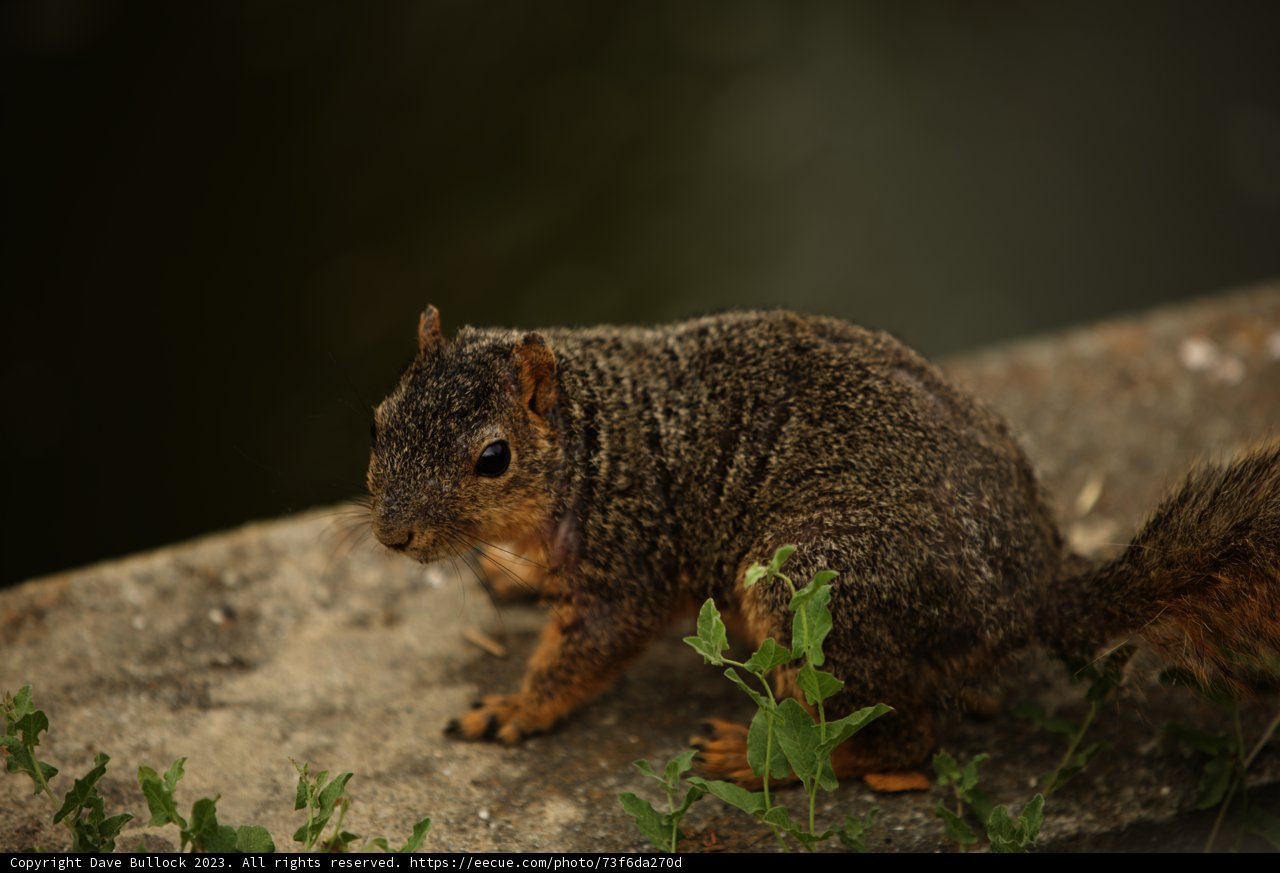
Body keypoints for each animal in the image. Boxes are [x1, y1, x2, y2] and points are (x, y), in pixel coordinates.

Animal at [365, 305, 1280, 780]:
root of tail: (1033, 584)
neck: (594, 436)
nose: (391, 534)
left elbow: (585, 649)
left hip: (818, 584)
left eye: (493, 458)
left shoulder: (633, 552)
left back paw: (766, 757)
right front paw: (514, 578)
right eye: (379, 419)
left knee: (895, 730)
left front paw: (514, 708)